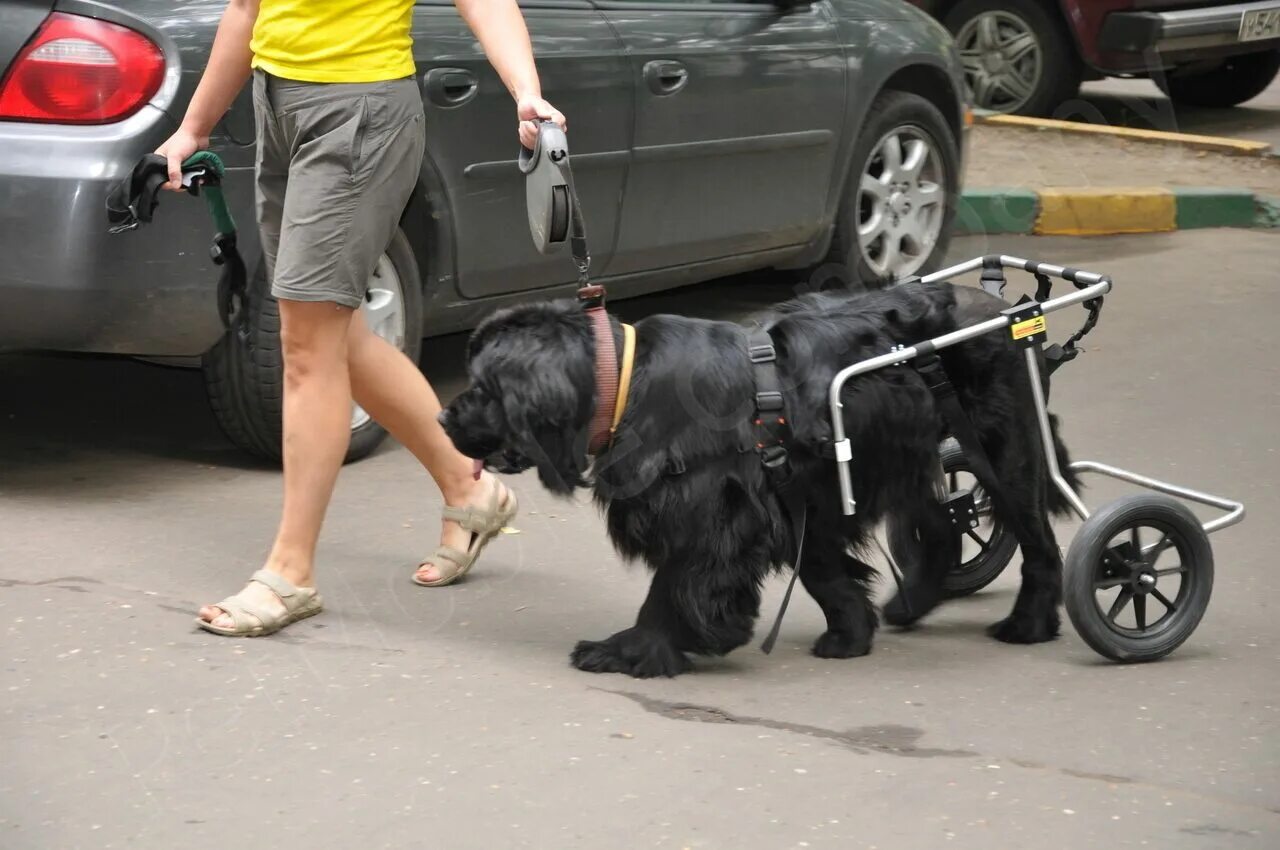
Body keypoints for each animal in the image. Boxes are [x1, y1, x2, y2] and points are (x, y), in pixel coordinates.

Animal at [437, 279, 1070, 675]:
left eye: (484, 390)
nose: (443, 417)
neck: (627, 384)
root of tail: (1007, 311)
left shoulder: (713, 512)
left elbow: (672, 587)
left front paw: (634, 651)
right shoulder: (797, 496)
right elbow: (824, 573)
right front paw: (850, 633)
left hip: (1002, 451)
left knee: (1038, 542)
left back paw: (1030, 622)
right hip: (909, 454)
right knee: (940, 526)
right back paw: (912, 604)